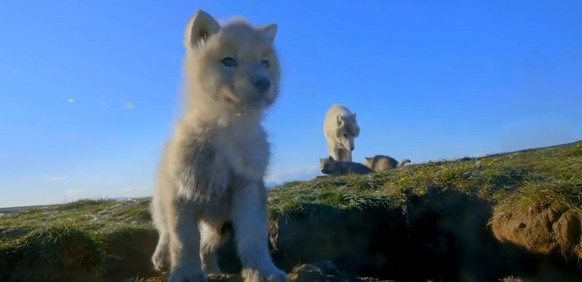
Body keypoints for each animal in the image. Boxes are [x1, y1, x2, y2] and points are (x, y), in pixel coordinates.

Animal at [148, 8, 290, 282]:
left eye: (265, 63)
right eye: (228, 61)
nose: (264, 83)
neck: (228, 130)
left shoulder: (248, 187)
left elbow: (253, 239)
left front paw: (263, 272)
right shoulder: (181, 192)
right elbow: (183, 241)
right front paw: (187, 275)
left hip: (220, 225)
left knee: (207, 246)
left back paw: (214, 271)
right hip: (164, 200)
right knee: (165, 232)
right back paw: (160, 257)